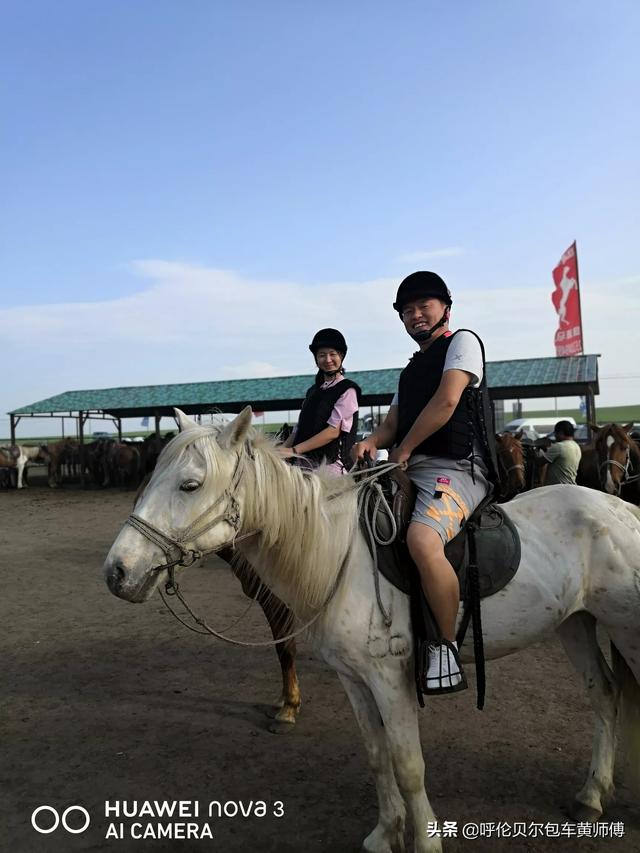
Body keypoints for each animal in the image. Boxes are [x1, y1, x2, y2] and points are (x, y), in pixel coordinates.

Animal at [105, 410, 640, 848]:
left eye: (190, 485)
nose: (117, 571)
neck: (336, 551)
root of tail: (624, 509)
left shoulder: (390, 679)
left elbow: (408, 766)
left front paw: (424, 841)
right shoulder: (354, 679)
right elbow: (378, 756)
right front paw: (386, 833)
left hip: (625, 628)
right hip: (575, 624)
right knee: (604, 694)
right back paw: (591, 795)